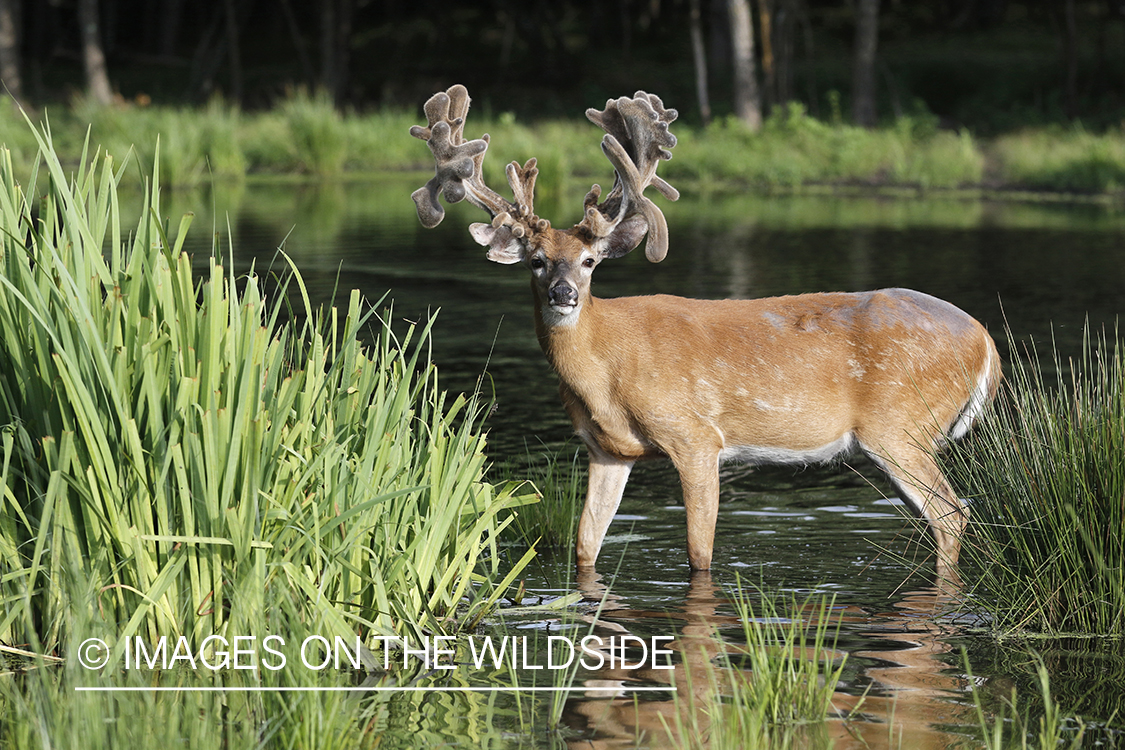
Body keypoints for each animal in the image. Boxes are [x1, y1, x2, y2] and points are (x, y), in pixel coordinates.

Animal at [407, 83, 1003, 580]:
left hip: (900, 425)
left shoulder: (695, 436)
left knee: (951, 512)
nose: (563, 294)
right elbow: (584, 548)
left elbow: (699, 554)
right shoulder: (608, 450)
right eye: (535, 260)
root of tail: (985, 343)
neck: (607, 370)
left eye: (590, 262)